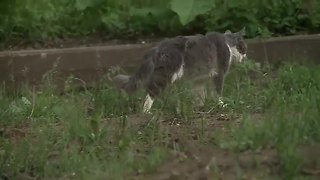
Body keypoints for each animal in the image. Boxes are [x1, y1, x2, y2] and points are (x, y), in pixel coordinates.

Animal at [112, 29, 248, 113]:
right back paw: (146, 112)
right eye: (244, 48)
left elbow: (200, 95)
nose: (245, 56)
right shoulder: (219, 74)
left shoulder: (199, 79)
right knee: (150, 91)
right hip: (166, 74)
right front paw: (220, 104)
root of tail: (158, 47)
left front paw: (200, 107)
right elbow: (218, 92)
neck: (227, 43)